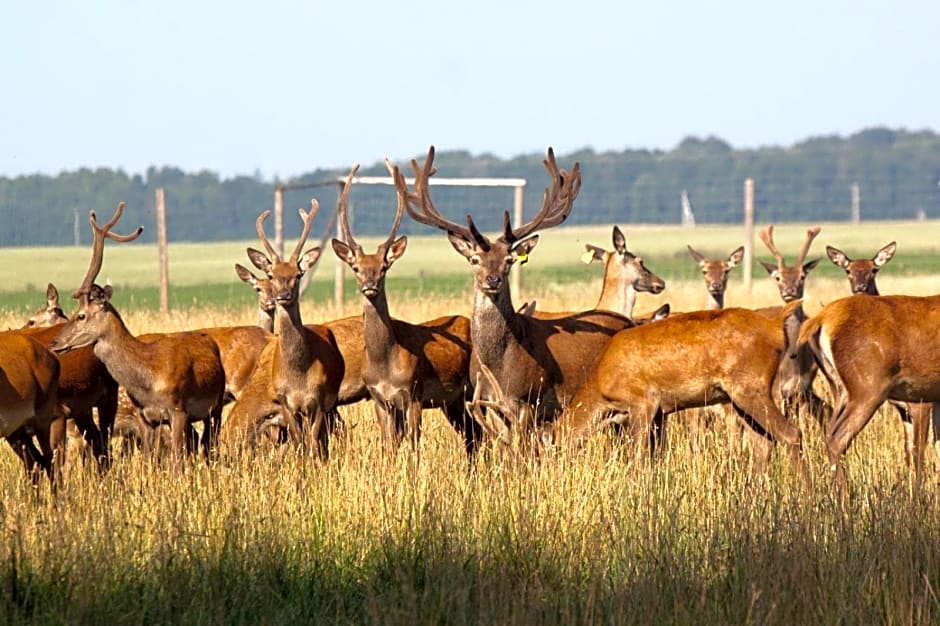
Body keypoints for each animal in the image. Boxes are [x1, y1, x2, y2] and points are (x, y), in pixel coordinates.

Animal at [48, 204, 226, 458]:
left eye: (80, 315)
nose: (54, 343)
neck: (148, 381)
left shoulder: (178, 409)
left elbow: (177, 460)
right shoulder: (145, 417)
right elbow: (149, 458)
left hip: (216, 404)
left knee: (210, 444)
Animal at [218, 205, 344, 454]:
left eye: (299, 275)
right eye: (271, 275)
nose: (282, 295)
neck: (299, 376)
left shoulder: (318, 401)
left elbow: (313, 443)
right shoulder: (286, 403)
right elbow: (298, 442)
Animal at [328, 161, 478, 454]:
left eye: (384, 267)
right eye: (356, 268)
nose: (370, 285)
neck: (385, 366)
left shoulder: (414, 394)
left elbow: (414, 446)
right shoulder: (379, 399)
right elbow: (388, 447)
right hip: (452, 401)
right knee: (474, 436)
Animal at [392, 145, 636, 444]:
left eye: (509, 260)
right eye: (474, 259)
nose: (492, 279)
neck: (499, 366)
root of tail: (630, 321)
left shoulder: (529, 399)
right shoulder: (490, 403)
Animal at [552, 300, 808, 470]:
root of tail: (774, 326)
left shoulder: (643, 402)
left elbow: (638, 456)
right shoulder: (658, 413)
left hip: (750, 387)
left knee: (791, 434)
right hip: (743, 396)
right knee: (763, 443)